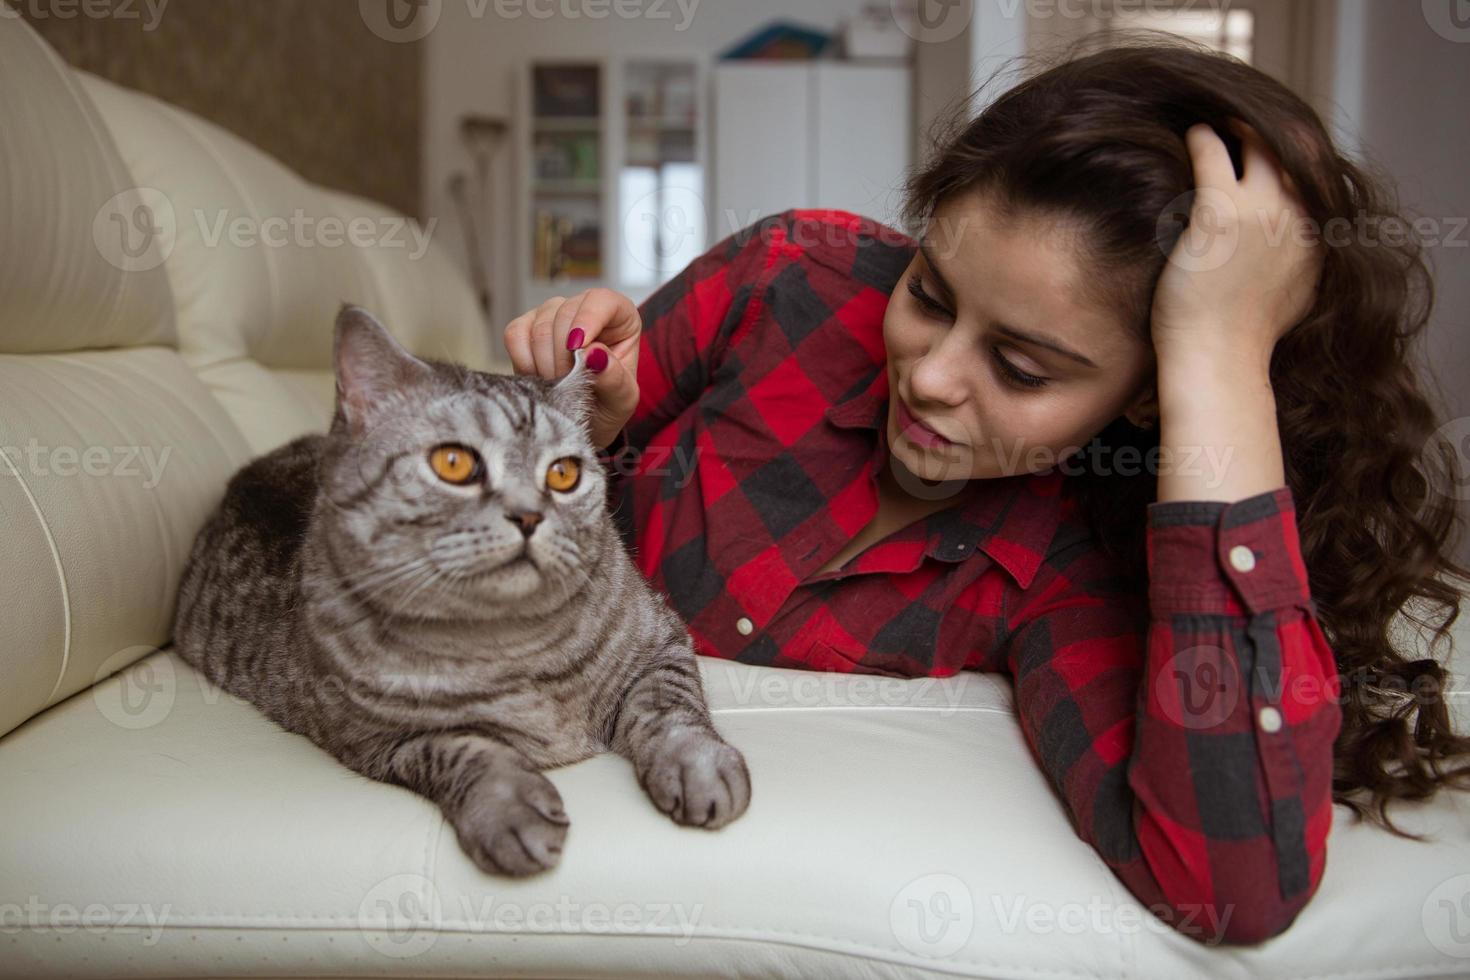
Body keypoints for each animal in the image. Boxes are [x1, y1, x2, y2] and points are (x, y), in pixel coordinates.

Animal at [171, 304, 752, 875]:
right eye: (454, 463)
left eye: (563, 474)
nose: (528, 516)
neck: (517, 645)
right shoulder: (383, 741)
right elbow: (470, 752)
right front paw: (511, 810)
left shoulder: (660, 643)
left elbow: (670, 710)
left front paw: (699, 769)